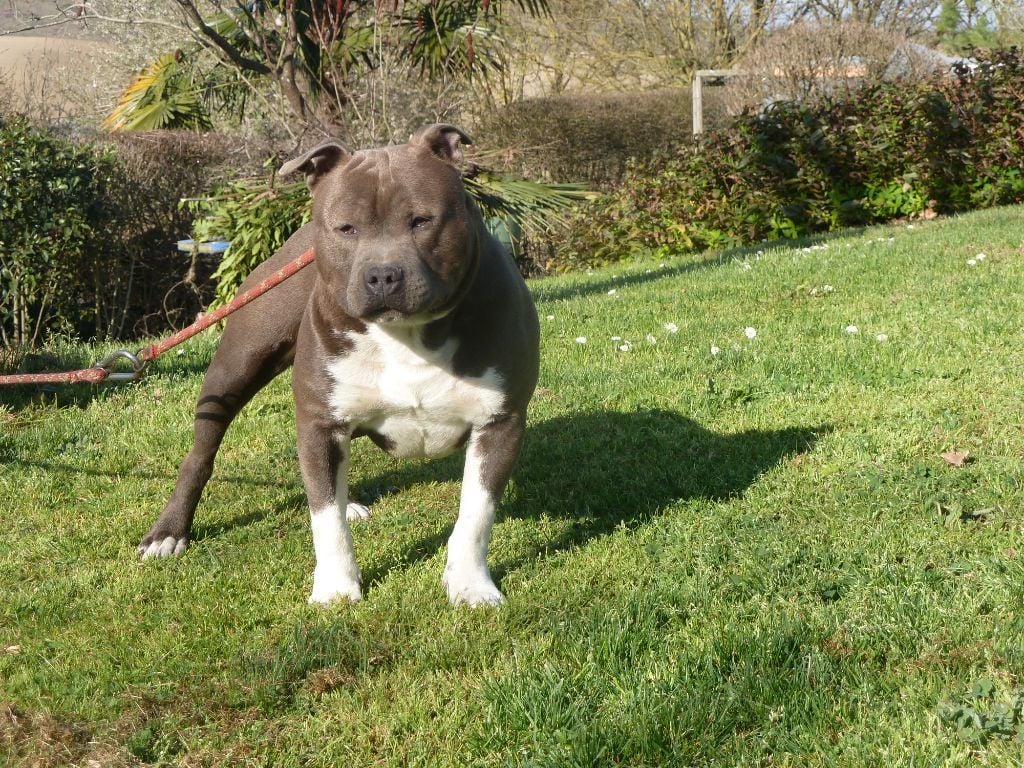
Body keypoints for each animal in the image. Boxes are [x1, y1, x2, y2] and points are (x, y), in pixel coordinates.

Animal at [137, 125, 540, 607]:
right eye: (346, 228)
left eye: (422, 220)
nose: (383, 275)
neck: (407, 335)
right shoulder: (319, 424)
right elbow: (326, 521)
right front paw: (335, 589)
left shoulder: (500, 423)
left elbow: (475, 517)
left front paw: (470, 585)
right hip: (233, 371)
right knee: (201, 455)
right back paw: (168, 533)